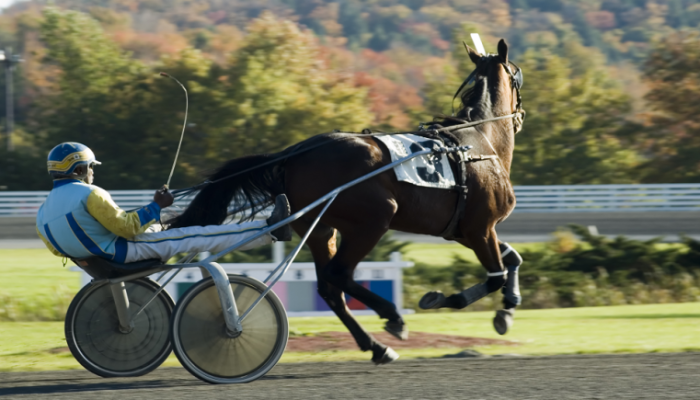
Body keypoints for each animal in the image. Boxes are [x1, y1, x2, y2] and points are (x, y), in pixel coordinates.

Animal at [171, 39, 524, 364]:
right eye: (517, 75)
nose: (520, 115)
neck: (480, 140)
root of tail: (294, 154)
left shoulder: (463, 231)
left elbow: (512, 258)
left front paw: (508, 308)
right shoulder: (480, 227)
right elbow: (495, 275)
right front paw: (445, 300)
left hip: (319, 228)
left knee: (330, 288)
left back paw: (377, 347)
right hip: (372, 220)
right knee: (338, 274)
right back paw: (392, 317)